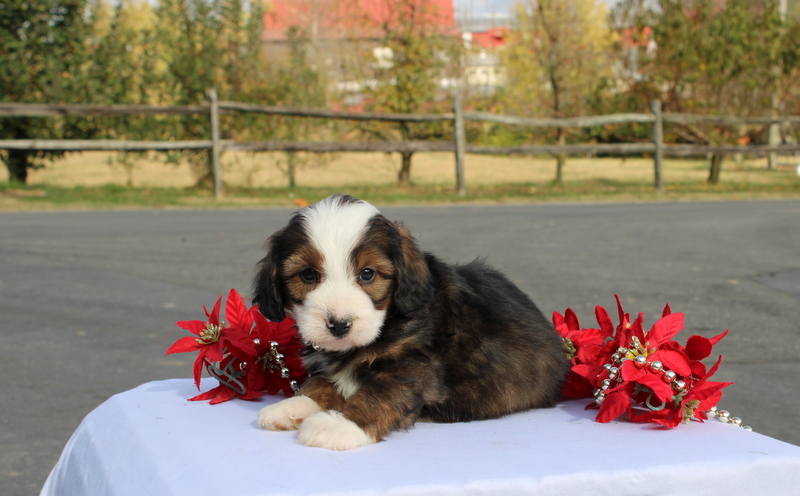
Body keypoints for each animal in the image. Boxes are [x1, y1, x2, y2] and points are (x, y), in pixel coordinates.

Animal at [253, 194, 572, 450]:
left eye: (367, 273)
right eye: (308, 274)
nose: (339, 324)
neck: (388, 323)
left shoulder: (413, 365)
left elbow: (378, 394)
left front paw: (340, 425)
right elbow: (320, 381)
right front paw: (295, 404)